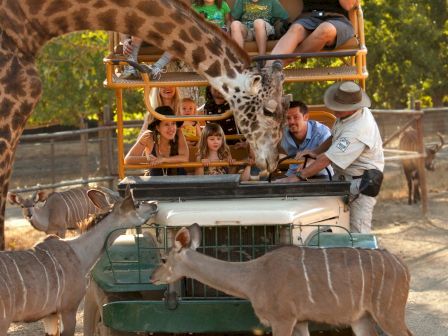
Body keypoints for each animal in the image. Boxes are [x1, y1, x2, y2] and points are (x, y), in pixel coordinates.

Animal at [151, 223, 412, 336]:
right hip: (361, 318)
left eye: (163, 259)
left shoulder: (283, 319)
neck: (254, 276)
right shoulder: (300, 321)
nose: (153, 277)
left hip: (388, 313)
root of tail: (404, 267)